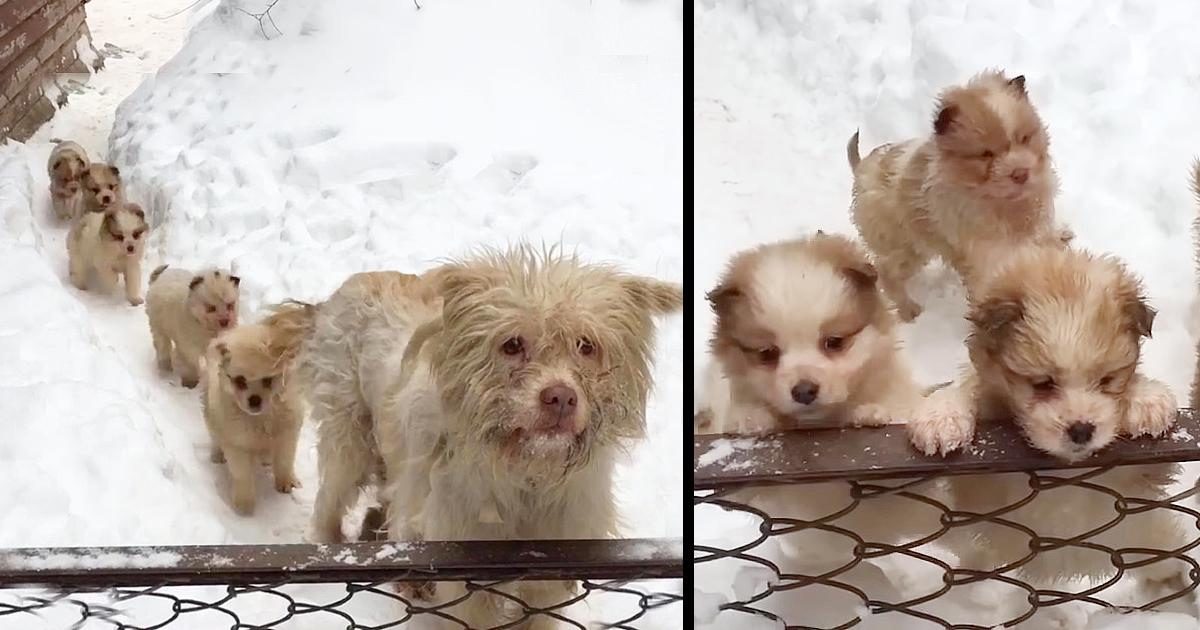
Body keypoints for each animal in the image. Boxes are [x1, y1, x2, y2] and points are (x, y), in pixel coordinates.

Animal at [199, 302, 309, 513]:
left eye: (267, 380)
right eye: (240, 381)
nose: (254, 400)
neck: (261, 418)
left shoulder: (287, 433)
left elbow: (284, 460)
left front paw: (285, 481)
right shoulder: (236, 442)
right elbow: (242, 474)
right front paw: (244, 503)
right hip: (211, 413)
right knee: (214, 435)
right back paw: (217, 454)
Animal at [296, 250, 681, 628]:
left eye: (586, 345)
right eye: (512, 344)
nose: (560, 397)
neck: (525, 473)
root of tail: (355, 282)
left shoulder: (554, 563)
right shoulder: (463, 565)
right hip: (348, 439)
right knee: (329, 502)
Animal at [700, 232, 940, 592]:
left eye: (834, 342)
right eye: (767, 353)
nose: (803, 391)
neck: (819, 428)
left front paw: (872, 412)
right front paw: (751, 419)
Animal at [849, 71, 1075, 321]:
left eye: (1024, 138)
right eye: (986, 154)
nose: (1021, 173)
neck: (1005, 203)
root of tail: (861, 168)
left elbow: (1044, 232)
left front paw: (1059, 236)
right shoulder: (985, 257)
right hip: (906, 248)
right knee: (886, 272)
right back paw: (909, 310)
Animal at [907, 243, 1180, 619]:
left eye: (1106, 380)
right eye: (1043, 383)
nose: (1081, 430)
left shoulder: (1138, 475)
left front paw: (1146, 399)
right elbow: (968, 388)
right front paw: (941, 416)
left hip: (1150, 536)